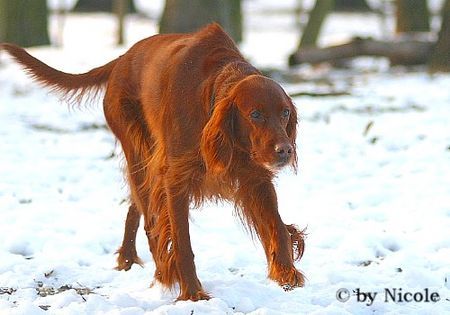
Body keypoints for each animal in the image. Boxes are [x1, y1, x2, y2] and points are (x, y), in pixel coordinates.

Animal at [0, 22, 306, 302]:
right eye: (255, 114)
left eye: (285, 113)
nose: (285, 151)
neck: (210, 93)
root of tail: (122, 59)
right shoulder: (176, 178)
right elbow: (181, 242)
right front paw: (192, 293)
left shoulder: (254, 175)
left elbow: (278, 227)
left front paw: (287, 274)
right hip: (139, 152)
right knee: (150, 222)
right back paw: (160, 272)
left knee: (138, 208)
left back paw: (128, 259)